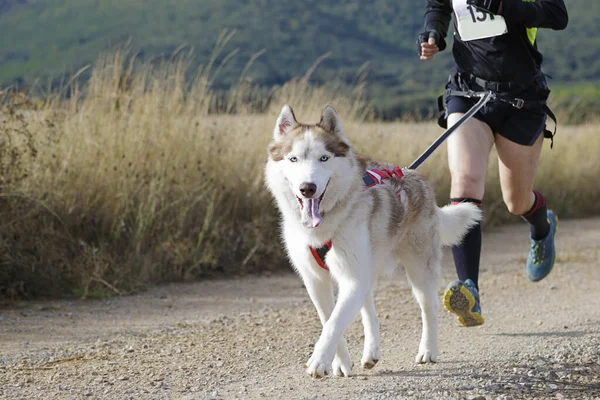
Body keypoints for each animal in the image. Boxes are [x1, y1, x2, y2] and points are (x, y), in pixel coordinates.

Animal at [264, 104, 480, 376]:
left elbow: (334, 323)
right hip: (367, 266)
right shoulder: (315, 280)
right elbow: (329, 319)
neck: (323, 224)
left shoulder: (352, 278)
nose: (307, 188)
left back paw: (428, 350)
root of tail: (415, 176)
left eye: (324, 158)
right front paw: (340, 362)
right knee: (369, 311)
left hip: (419, 269)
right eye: (293, 159)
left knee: (428, 308)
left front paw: (319, 361)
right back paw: (371, 353)